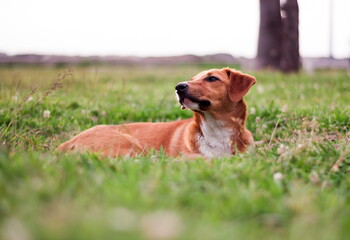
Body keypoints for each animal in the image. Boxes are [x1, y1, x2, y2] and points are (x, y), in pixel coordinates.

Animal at [56, 67, 254, 158]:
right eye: (193, 79)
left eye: (212, 78)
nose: (179, 87)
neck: (217, 129)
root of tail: (67, 142)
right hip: (130, 147)